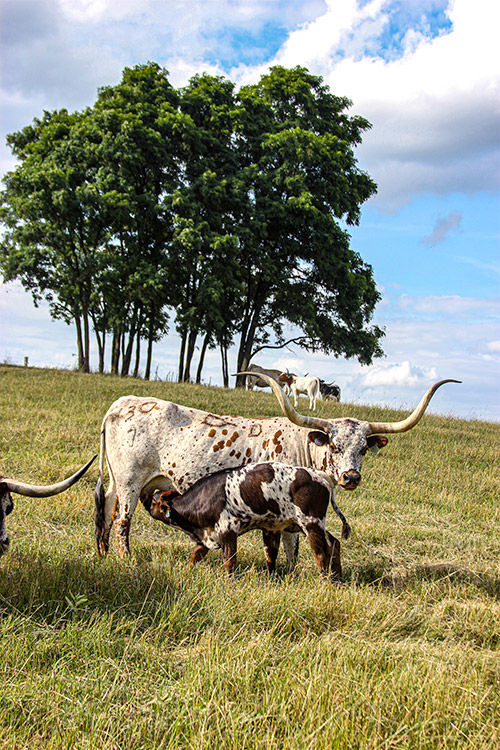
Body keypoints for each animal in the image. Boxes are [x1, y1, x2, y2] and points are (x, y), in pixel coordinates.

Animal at [94, 372, 459, 564]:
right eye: (334, 445)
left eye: (362, 450)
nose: (351, 477)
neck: (302, 444)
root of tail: (122, 402)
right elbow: (289, 543)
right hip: (129, 480)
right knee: (122, 520)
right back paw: (126, 559)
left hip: (117, 481)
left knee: (106, 512)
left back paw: (103, 554)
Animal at [141, 462, 351, 580]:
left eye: (154, 500)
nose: (145, 497)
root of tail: (321, 475)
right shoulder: (208, 535)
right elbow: (195, 555)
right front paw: (187, 572)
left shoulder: (228, 529)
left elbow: (229, 561)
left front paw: (230, 583)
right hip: (309, 524)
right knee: (334, 544)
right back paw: (337, 579)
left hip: (311, 522)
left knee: (321, 554)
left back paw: (325, 581)